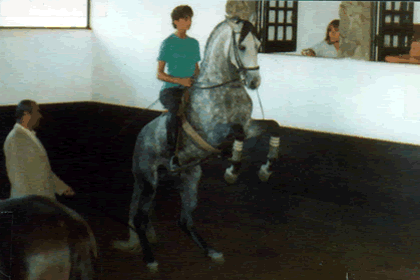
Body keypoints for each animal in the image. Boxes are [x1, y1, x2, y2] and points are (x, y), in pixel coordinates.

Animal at [113, 17, 280, 272]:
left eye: (259, 45)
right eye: (242, 47)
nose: (254, 82)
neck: (223, 90)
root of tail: (140, 137)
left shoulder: (249, 124)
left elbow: (273, 126)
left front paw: (266, 169)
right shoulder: (213, 133)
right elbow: (237, 134)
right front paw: (232, 170)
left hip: (189, 178)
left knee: (184, 220)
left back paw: (211, 251)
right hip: (149, 181)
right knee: (140, 219)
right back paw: (150, 260)